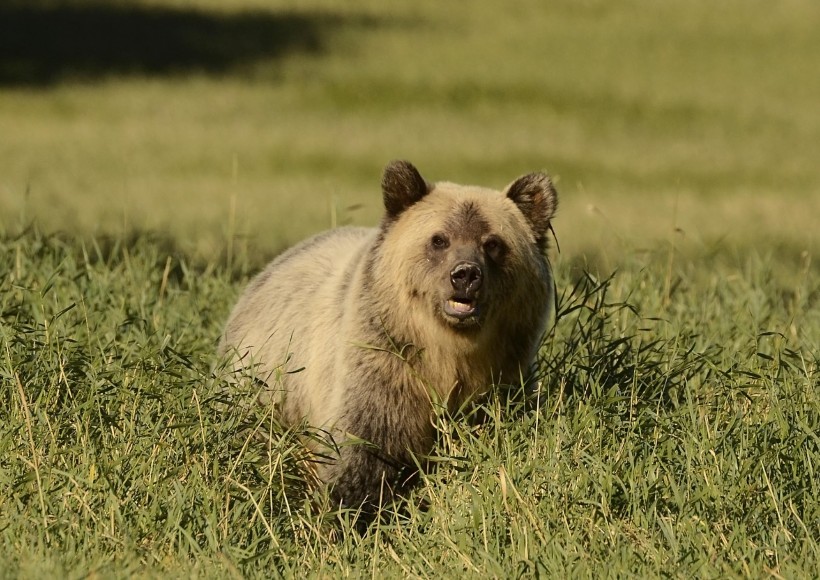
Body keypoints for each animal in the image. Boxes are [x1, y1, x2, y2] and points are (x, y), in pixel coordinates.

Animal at [219, 160, 556, 516]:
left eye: (492, 243)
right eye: (440, 240)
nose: (465, 274)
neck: (448, 351)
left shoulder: (504, 376)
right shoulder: (384, 368)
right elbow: (366, 453)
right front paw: (353, 510)